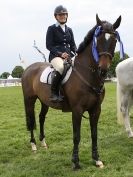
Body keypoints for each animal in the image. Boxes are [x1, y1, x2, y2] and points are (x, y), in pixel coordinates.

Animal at [21, 14, 121, 169]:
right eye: (97, 40)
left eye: (114, 40)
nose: (103, 70)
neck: (88, 74)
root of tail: (29, 68)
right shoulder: (77, 110)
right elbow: (76, 135)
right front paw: (75, 162)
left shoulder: (96, 109)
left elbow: (94, 134)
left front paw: (96, 159)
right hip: (29, 100)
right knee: (31, 120)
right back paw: (33, 145)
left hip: (44, 101)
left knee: (41, 117)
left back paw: (43, 142)